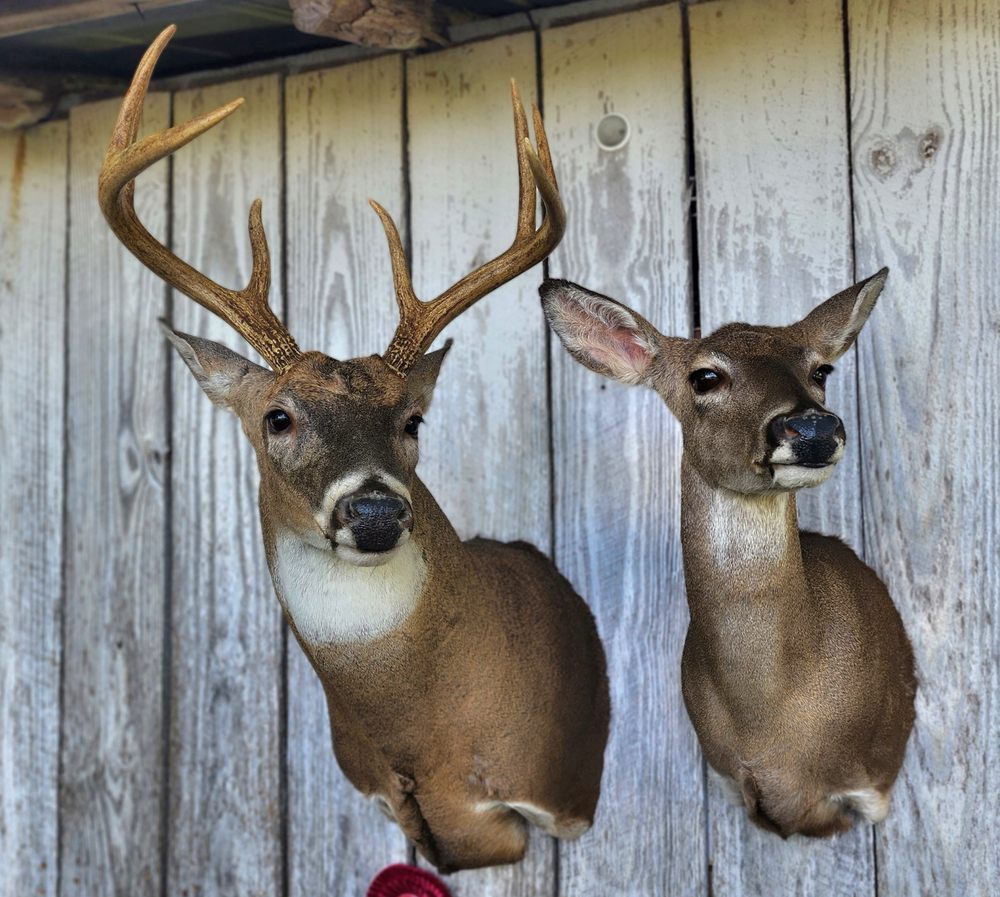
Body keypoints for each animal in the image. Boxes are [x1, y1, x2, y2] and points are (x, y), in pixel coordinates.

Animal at [541, 271, 916, 838]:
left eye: (821, 370)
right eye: (705, 377)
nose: (813, 429)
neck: (768, 724)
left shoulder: (873, 774)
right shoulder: (724, 772)